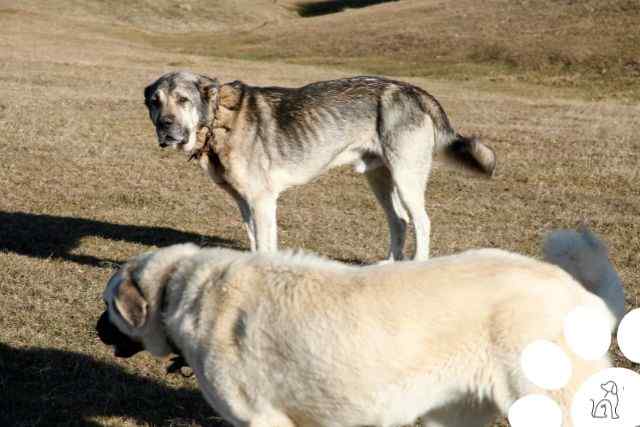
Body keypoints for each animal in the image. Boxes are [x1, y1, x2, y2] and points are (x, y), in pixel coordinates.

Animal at [145, 72, 496, 260]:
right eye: (155, 102)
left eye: (183, 100)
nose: (164, 126)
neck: (219, 119)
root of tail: (414, 91)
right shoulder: (244, 203)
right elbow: (255, 242)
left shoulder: (262, 202)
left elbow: (266, 247)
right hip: (380, 179)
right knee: (398, 221)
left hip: (406, 177)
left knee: (422, 222)